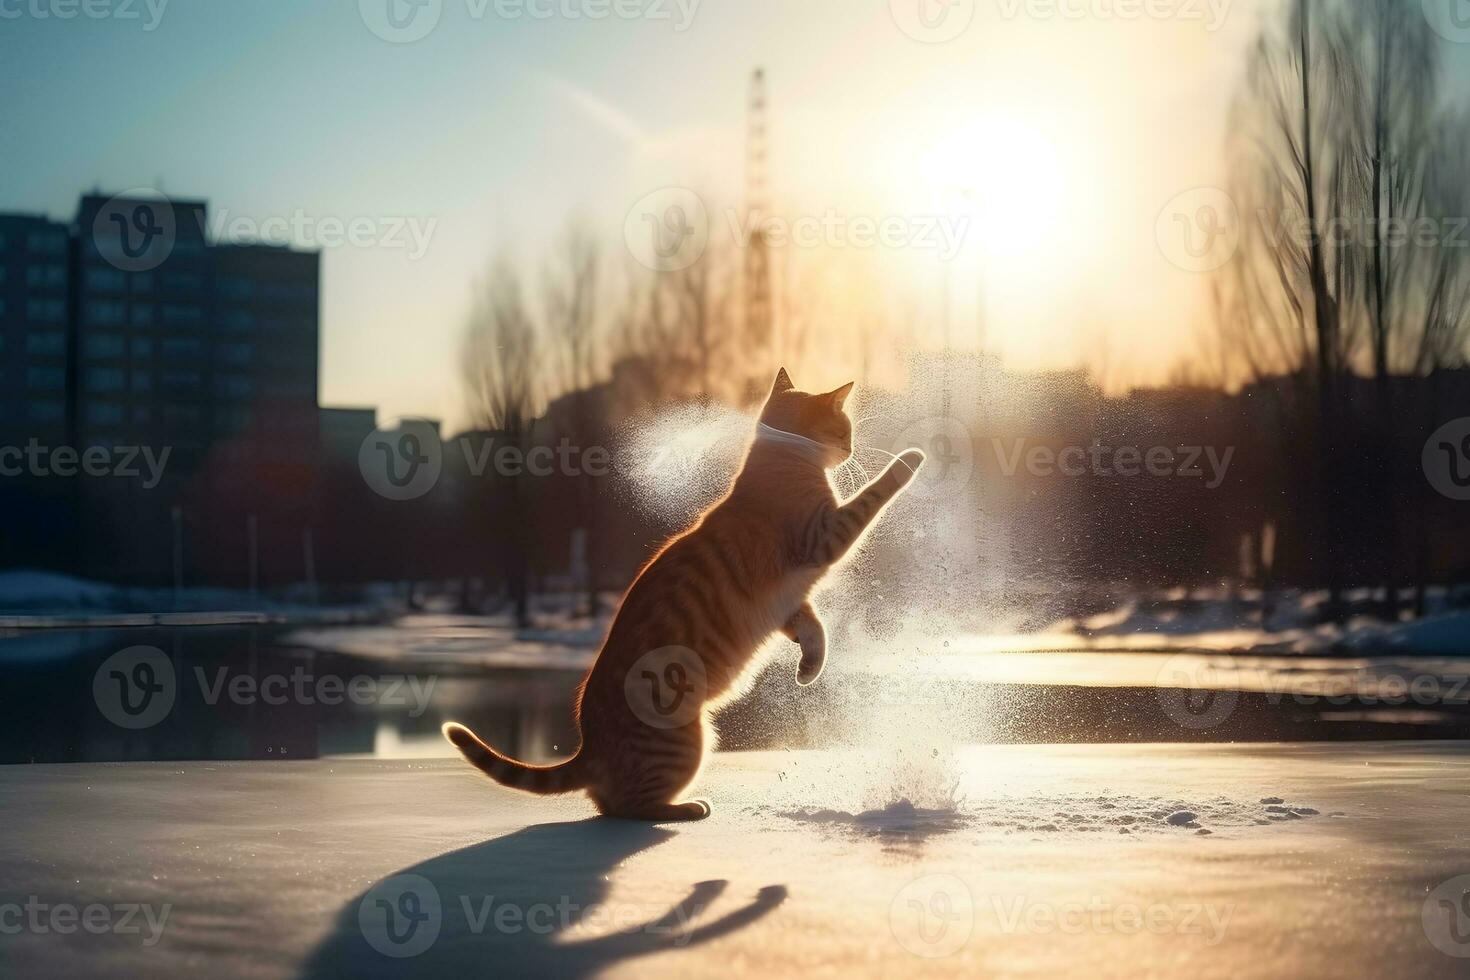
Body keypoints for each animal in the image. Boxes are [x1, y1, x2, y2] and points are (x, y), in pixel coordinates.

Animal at [441, 367, 923, 822]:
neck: (780, 456)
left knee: (607, 803)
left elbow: (814, 629)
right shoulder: (824, 537)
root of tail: (588, 748)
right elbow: (874, 493)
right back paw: (687, 808)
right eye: (844, 430)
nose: (852, 449)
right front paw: (910, 458)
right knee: (627, 806)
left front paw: (809, 670)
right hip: (690, 739)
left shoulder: (788, 601)